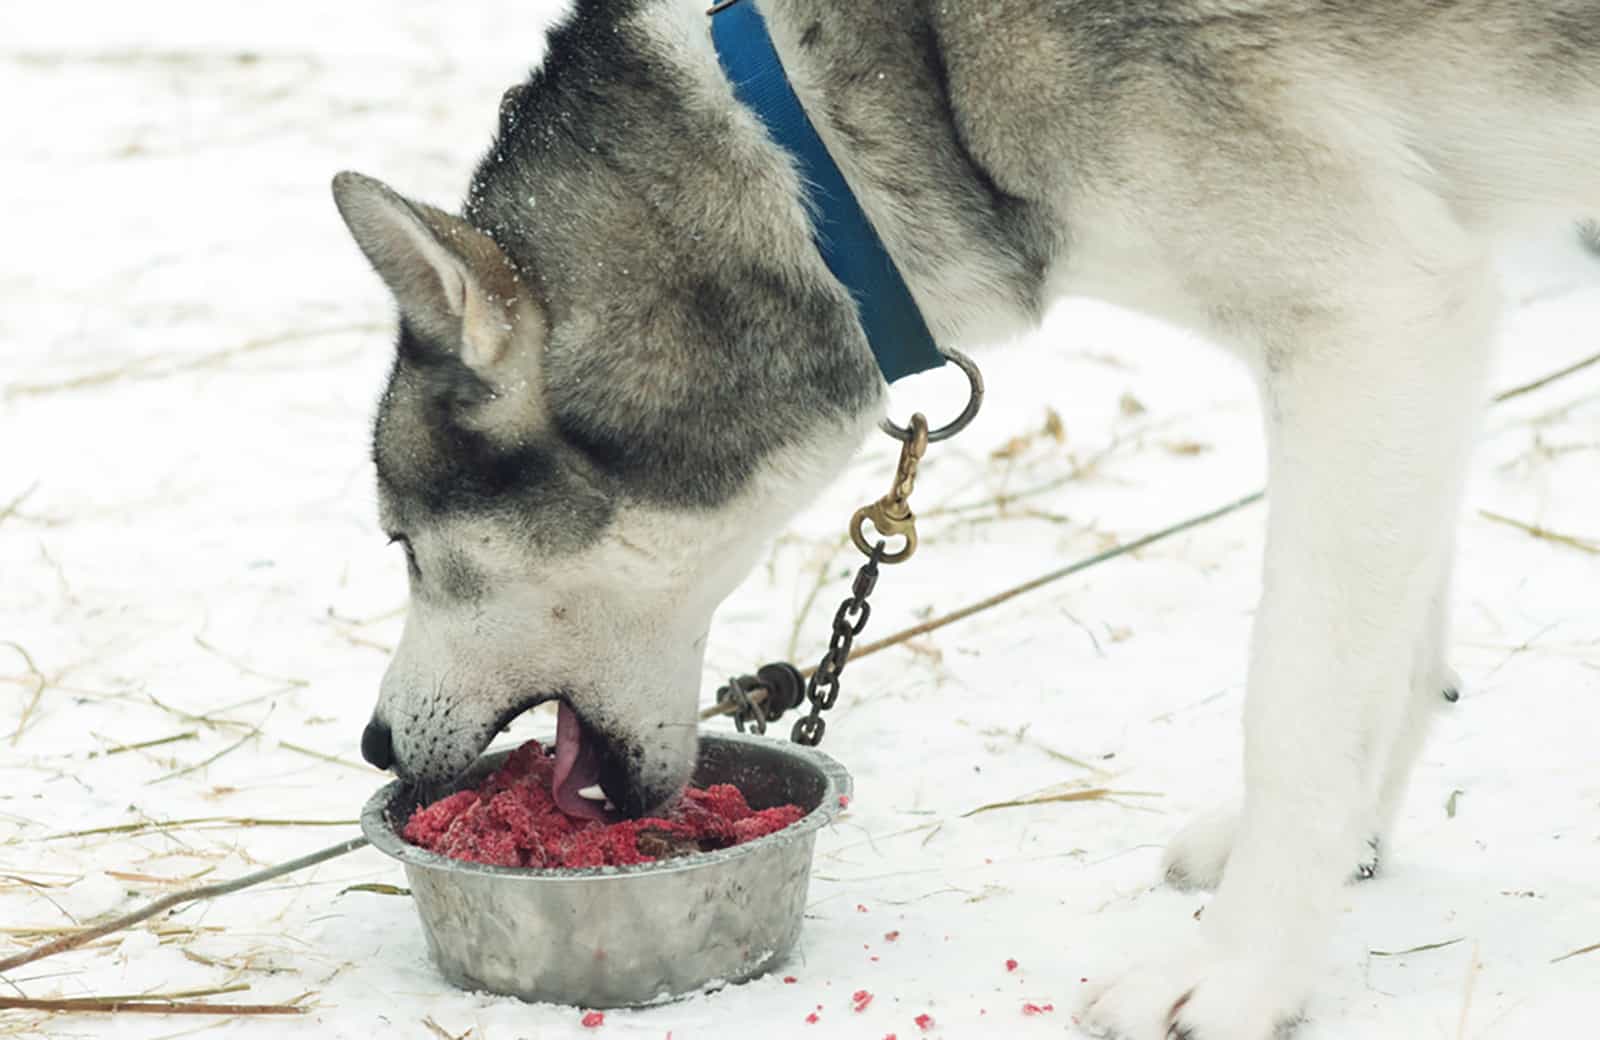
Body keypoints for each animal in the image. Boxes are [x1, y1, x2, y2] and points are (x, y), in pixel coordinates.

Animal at [331, 4, 1593, 1030]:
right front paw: (1345, 853)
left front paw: (1240, 975)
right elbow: (1390, 663)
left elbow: (1299, 702)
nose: (377, 740)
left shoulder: (1372, 313)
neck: (819, 143)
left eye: (403, 543)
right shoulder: (1404, 337)